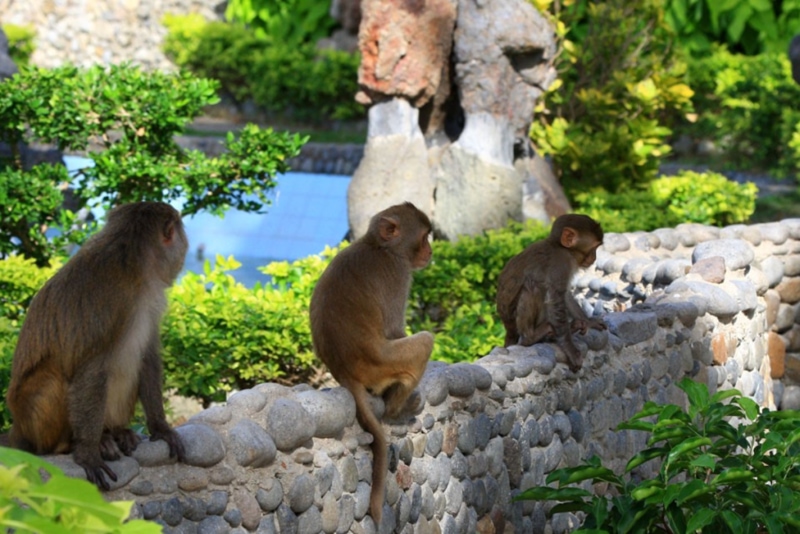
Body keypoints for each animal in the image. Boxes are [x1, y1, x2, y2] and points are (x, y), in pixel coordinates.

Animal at [6, 201, 187, 490]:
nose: (183, 244)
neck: (132, 261)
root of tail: (18, 430)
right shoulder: (112, 303)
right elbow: (90, 368)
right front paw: (88, 453)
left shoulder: (149, 301)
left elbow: (148, 356)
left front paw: (161, 427)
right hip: (35, 424)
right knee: (53, 378)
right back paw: (79, 443)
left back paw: (115, 431)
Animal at [309, 202, 434, 524]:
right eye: (424, 237)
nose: (430, 252)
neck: (379, 246)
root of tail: (344, 372)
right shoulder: (398, 273)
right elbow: (394, 329)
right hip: (382, 364)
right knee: (424, 342)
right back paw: (396, 411)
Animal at [496, 213, 606, 372]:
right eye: (594, 248)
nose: (594, 258)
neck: (560, 247)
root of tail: (508, 329)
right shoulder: (560, 264)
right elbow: (555, 299)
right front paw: (570, 349)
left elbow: (565, 294)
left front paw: (589, 321)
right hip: (515, 322)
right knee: (533, 286)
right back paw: (531, 336)